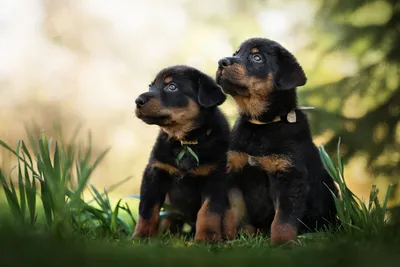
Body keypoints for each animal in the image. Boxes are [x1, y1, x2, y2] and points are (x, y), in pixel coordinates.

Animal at [132, 65, 231, 243]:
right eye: (151, 86)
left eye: (172, 87)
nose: (138, 100)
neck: (186, 142)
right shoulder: (155, 172)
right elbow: (147, 209)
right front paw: (141, 237)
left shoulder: (215, 176)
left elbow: (208, 211)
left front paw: (207, 238)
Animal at [216, 38, 338, 247]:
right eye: (236, 53)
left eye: (257, 57)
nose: (221, 61)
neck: (261, 126)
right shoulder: (234, 172)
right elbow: (232, 214)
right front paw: (229, 240)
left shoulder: (289, 177)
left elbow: (283, 219)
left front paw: (282, 244)